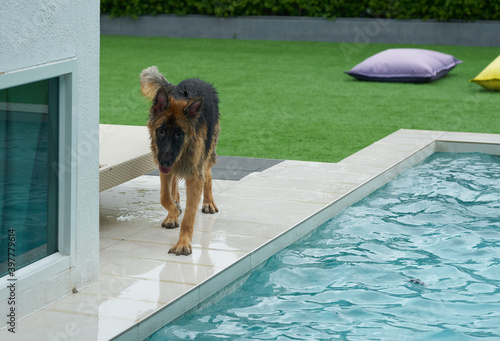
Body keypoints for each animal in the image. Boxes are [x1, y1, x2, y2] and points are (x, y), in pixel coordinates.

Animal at [140, 65, 220, 254]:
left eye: (179, 133)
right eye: (161, 130)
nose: (165, 162)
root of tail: (197, 79)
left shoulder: (195, 177)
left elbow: (189, 215)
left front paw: (183, 243)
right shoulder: (165, 169)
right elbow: (165, 196)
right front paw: (174, 211)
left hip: (207, 153)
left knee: (208, 176)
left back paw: (208, 202)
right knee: (174, 186)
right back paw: (172, 215)